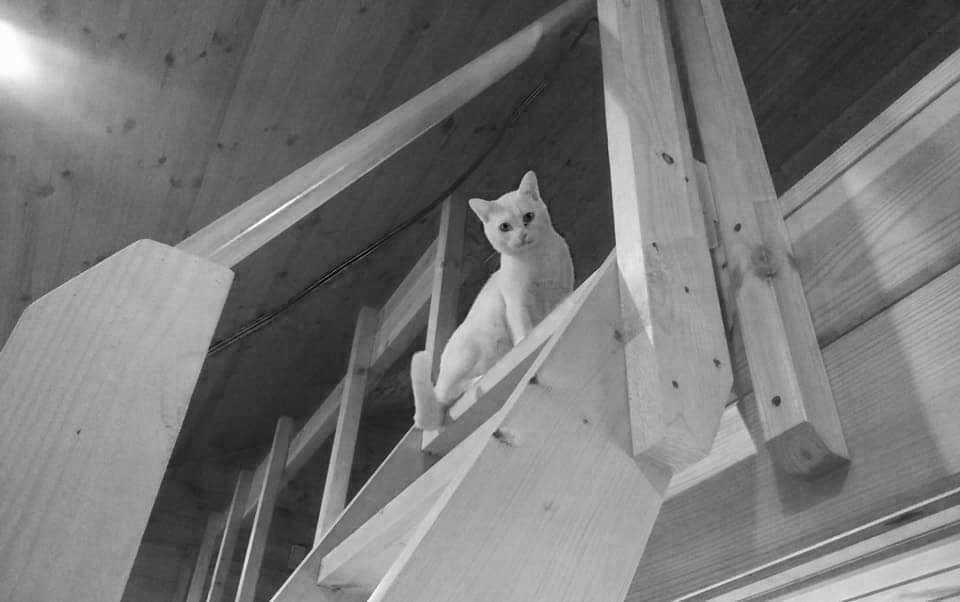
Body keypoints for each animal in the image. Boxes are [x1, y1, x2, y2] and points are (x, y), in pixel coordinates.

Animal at [410, 170, 574, 430]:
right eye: (504, 226)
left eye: (528, 216)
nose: (522, 235)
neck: (537, 259)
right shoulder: (516, 302)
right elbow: (524, 330)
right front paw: (525, 343)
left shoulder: (563, 291)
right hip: (477, 342)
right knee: (449, 393)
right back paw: (479, 378)